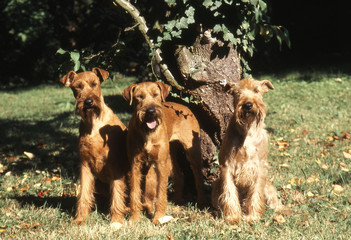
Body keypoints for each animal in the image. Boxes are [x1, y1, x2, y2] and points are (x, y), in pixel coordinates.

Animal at [60, 67, 129, 225]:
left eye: (94, 84)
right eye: (78, 87)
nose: (88, 101)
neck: (94, 124)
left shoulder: (115, 165)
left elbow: (117, 195)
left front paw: (116, 220)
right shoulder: (85, 165)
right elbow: (84, 195)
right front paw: (80, 218)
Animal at [212, 78, 284, 224]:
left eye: (256, 90)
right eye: (238, 93)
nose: (248, 105)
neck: (248, 131)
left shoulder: (259, 166)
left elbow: (256, 193)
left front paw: (253, 216)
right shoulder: (227, 166)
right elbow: (229, 192)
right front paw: (233, 217)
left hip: (268, 187)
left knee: (275, 202)